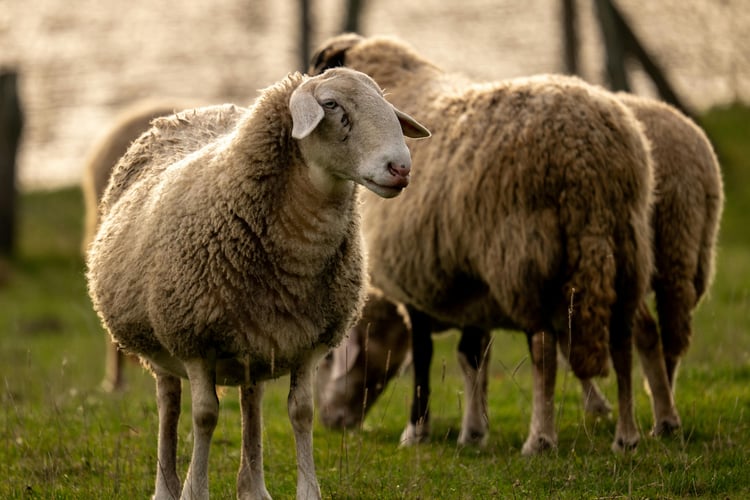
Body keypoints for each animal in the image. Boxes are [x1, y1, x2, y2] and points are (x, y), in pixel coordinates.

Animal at [309, 33, 655, 454]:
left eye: (330, 360)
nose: (331, 423)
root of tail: (589, 162)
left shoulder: (417, 277)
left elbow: (424, 355)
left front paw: (417, 430)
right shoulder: (469, 283)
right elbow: (471, 355)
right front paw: (473, 431)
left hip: (522, 257)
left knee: (544, 346)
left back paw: (540, 438)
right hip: (625, 249)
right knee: (622, 339)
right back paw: (627, 435)